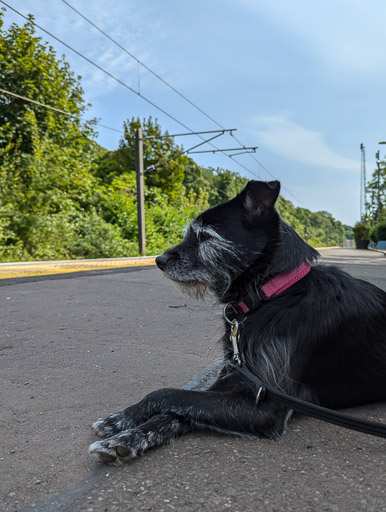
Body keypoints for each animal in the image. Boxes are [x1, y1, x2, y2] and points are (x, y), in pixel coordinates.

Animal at [88, 181, 386, 464]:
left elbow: (168, 395)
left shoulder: (266, 406)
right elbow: (178, 408)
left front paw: (126, 423)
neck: (273, 293)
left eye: (205, 237)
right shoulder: (235, 378)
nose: (159, 260)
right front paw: (127, 428)